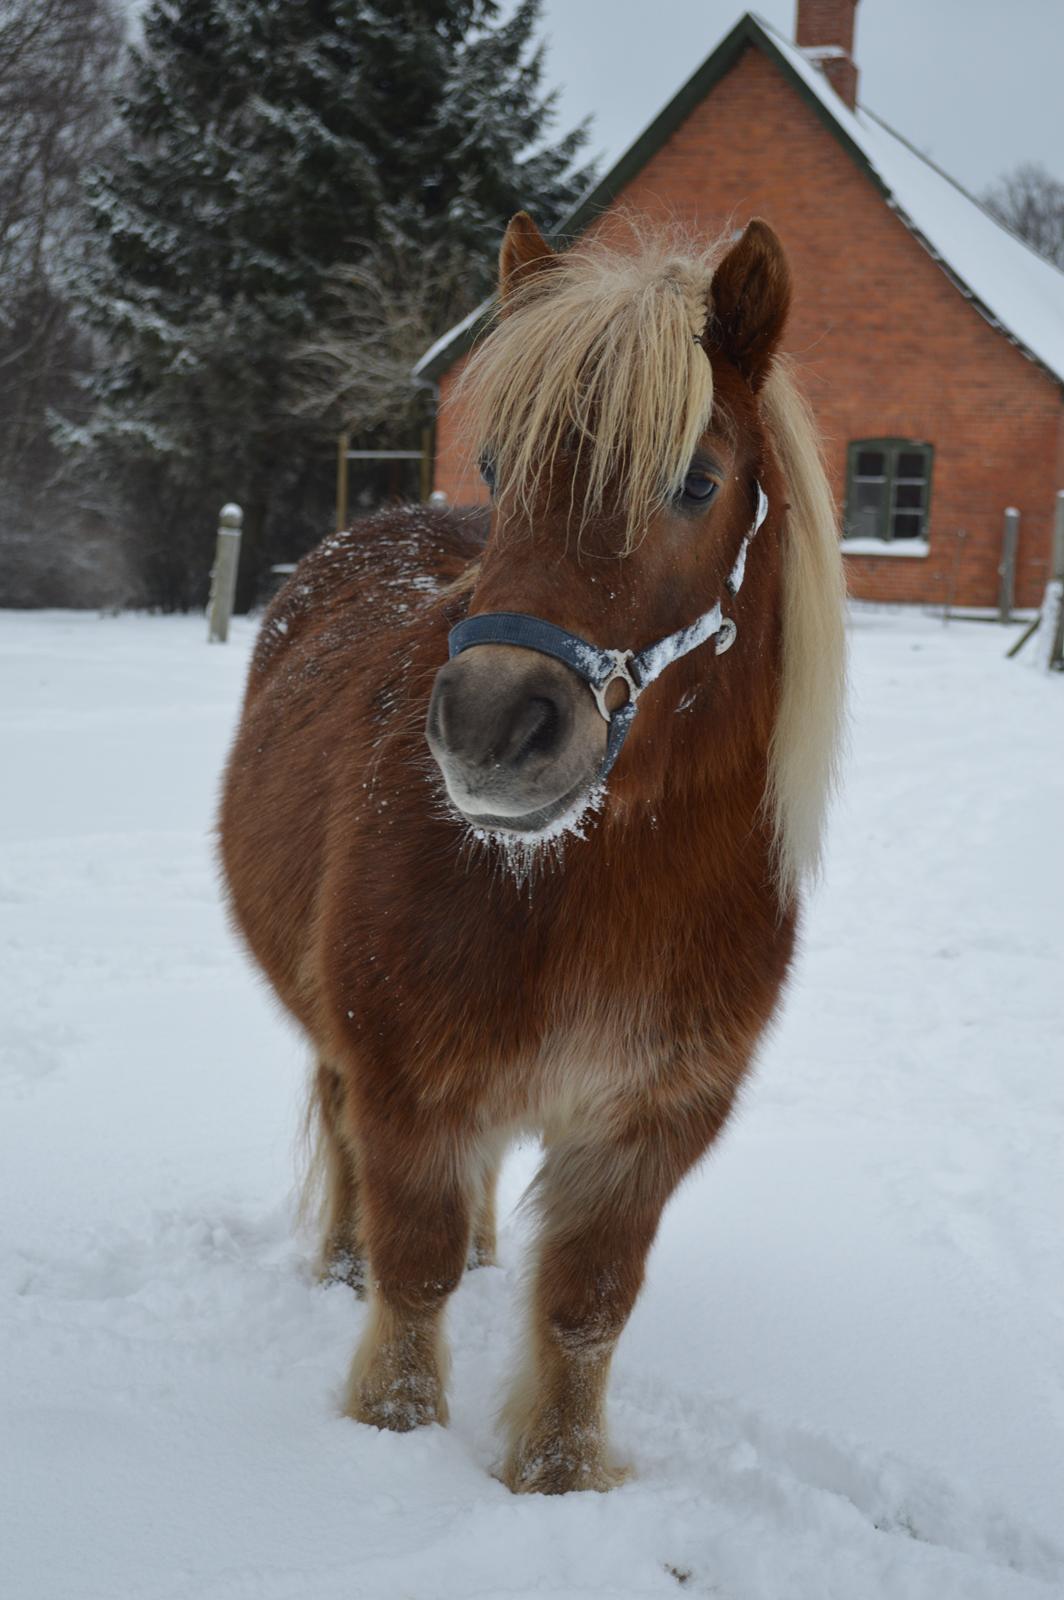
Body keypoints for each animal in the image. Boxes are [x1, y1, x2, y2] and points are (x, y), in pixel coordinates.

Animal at [219, 211, 846, 1495]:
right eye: (500, 464)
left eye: (696, 478)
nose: (491, 724)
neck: (594, 885)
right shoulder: (402, 1086)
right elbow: (412, 1275)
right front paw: (387, 1440)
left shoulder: (649, 1123)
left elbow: (583, 1309)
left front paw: (555, 1480)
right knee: (351, 1162)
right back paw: (340, 1266)